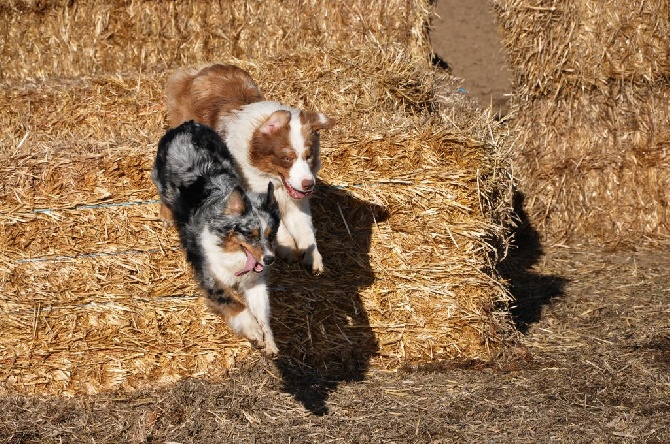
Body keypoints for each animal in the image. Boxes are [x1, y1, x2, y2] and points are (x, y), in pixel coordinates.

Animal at [168, 64, 336, 274]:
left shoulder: (295, 200)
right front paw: (288, 248)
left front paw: (313, 256)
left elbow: (305, 228)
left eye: (309, 156)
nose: (309, 185)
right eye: (287, 158)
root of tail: (203, 70)